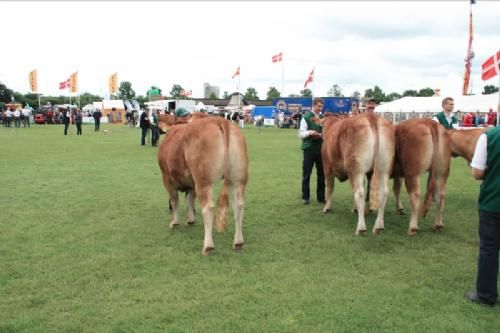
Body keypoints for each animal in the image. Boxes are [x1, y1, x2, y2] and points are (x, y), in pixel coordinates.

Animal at [157, 116, 249, 254]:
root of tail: (219, 120)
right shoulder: (192, 182)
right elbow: (189, 200)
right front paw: (190, 220)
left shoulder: (167, 178)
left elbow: (174, 201)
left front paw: (174, 222)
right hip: (238, 180)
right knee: (238, 206)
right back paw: (238, 243)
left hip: (203, 181)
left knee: (208, 208)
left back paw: (208, 246)